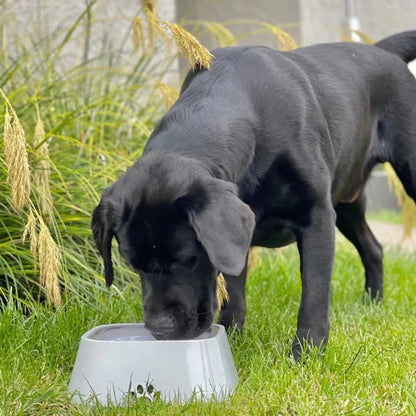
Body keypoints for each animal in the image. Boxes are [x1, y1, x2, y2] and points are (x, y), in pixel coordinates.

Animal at [92, 31, 416, 358]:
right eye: (133, 265)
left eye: (189, 258)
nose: (160, 330)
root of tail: (382, 50)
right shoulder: (235, 240)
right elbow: (234, 293)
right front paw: (232, 338)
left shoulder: (317, 215)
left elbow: (314, 292)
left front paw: (306, 353)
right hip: (347, 203)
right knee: (374, 248)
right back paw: (372, 304)